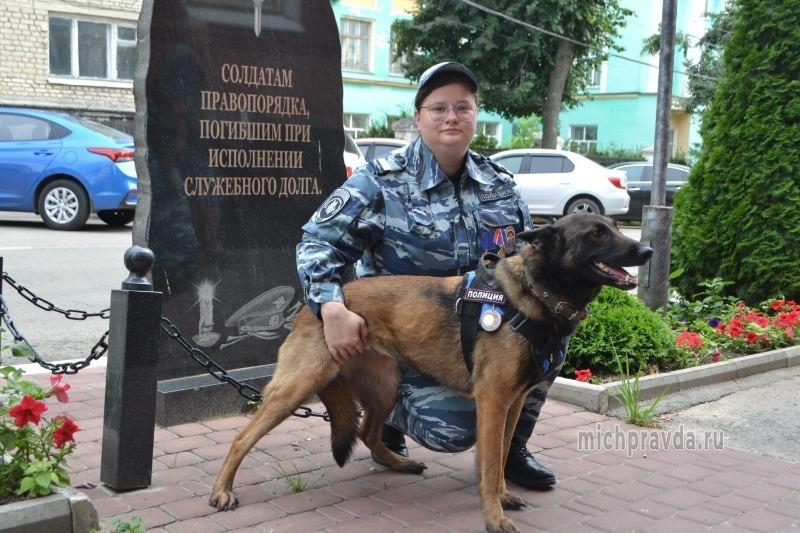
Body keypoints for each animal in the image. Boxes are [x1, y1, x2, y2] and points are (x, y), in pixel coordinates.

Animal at [210, 213, 653, 533]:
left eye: (616, 228)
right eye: (596, 233)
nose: (647, 249)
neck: (535, 293)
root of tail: (318, 304)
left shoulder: (512, 405)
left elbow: (502, 456)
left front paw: (503, 496)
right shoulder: (493, 402)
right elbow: (490, 464)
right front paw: (494, 516)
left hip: (386, 386)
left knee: (368, 432)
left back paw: (399, 462)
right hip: (295, 389)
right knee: (242, 438)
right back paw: (222, 491)